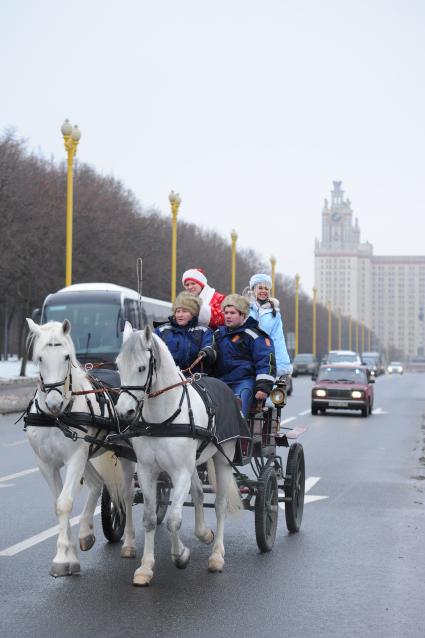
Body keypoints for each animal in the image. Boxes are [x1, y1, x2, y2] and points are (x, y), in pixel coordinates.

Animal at [24, 320, 137, 580]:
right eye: (40, 358)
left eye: (66, 356)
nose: (53, 403)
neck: (57, 418)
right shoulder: (46, 464)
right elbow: (57, 505)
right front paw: (70, 557)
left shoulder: (75, 457)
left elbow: (65, 502)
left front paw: (61, 557)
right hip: (88, 456)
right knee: (98, 484)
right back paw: (85, 533)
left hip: (123, 455)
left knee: (128, 495)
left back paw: (129, 543)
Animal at [116, 324, 242, 592]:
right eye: (118, 365)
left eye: (141, 368)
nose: (123, 412)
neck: (162, 419)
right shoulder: (147, 471)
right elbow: (150, 518)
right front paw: (145, 568)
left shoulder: (180, 472)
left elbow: (173, 519)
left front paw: (181, 556)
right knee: (198, 493)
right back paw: (203, 533)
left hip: (223, 459)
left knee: (219, 505)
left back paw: (217, 555)